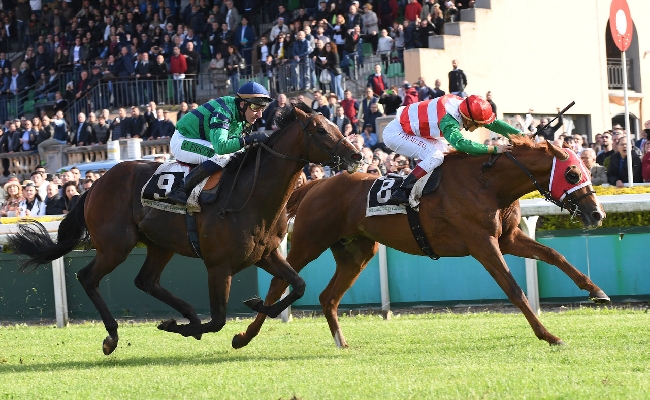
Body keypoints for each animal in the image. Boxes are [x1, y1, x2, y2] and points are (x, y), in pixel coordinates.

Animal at [8, 104, 360, 356]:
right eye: (320, 130)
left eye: (334, 125)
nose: (356, 154)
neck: (250, 195)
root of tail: (94, 185)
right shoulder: (218, 266)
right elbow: (217, 320)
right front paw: (195, 328)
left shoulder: (267, 254)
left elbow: (298, 286)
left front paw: (252, 309)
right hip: (115, 245)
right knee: (87, 277)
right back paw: (113, 336)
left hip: (159, 245)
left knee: (145, 281)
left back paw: (185, 315)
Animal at [232, 136, 608, 348]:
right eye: (572, 173)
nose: (597, 213)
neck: (487, 183)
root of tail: (316, 184)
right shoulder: (482, 243)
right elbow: (514, 289)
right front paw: (549, 336)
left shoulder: (509, 237)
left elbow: (554, 254)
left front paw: (596, 292)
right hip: (309, 243)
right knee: (280, 283)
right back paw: (244, 336)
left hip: (357, 252)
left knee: (328, 297)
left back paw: (341, 342)